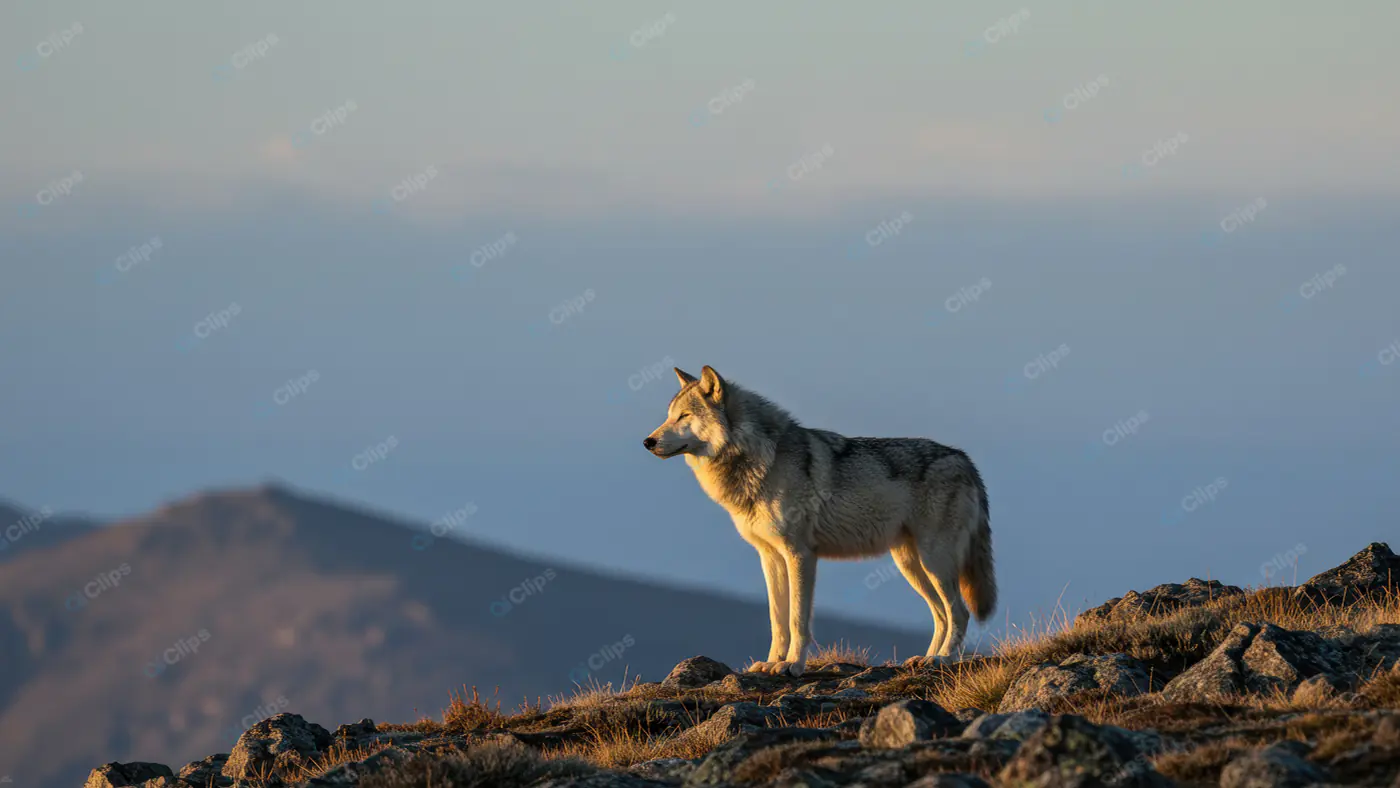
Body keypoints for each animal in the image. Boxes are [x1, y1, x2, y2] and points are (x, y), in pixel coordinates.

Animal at [643, 366, 996, 676]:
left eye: (684, 416)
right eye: (669, 415)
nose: (648, 442)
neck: (759, 460)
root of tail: (964, 459)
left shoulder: (800, 555)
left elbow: (797, 619)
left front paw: (792, 666)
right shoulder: (770, 557)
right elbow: (777, 620)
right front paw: (770, 663)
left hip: (933, 561)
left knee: (959, 611)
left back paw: (943, 660)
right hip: (911, 565)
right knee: (941, 614)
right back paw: (927, 659)